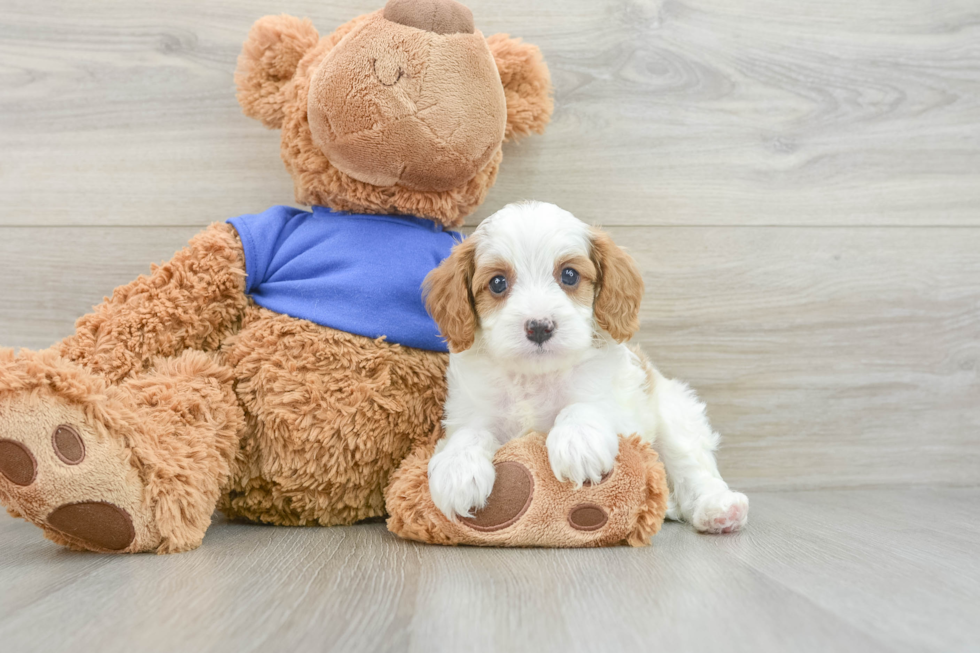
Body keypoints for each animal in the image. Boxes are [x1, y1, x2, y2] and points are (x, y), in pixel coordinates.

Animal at [424, 201, 752, 532]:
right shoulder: (471, 411)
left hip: (673, 411)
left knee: (691, 465)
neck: (536, 376)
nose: (539, 326)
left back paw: (718, 509)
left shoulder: (622, 410)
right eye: (498, 283)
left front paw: (578, 442)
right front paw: (457, 469)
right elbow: (469, 433)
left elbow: (583, 406)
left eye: (569, 275)